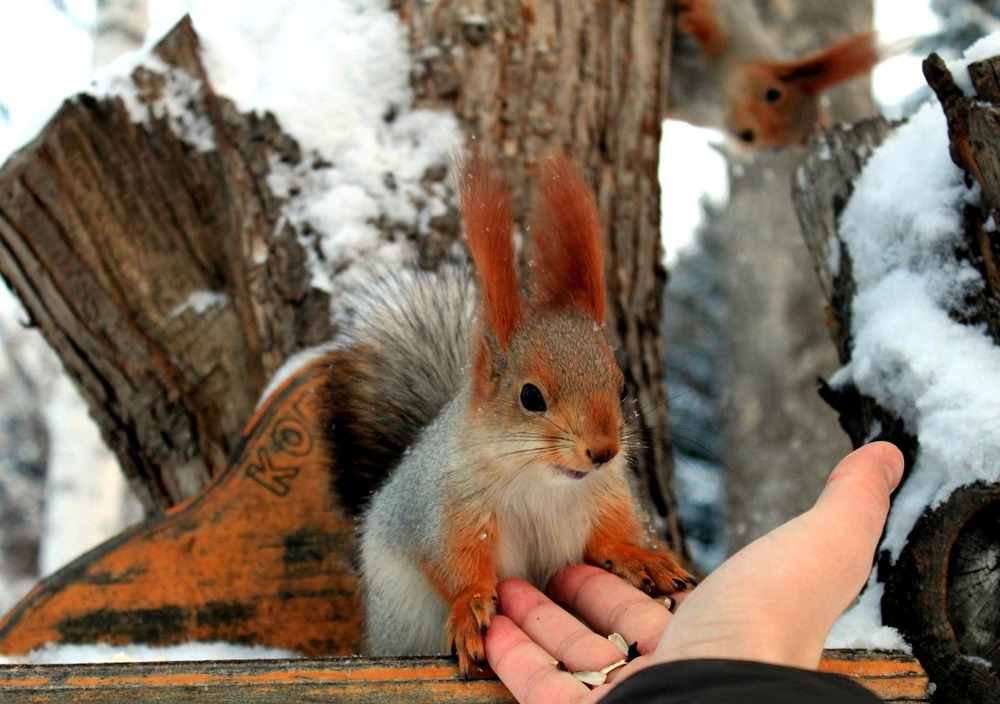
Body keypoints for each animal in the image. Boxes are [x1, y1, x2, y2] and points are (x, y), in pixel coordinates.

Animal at [336, 153, 696, 676]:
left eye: (623, 385)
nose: (604, 452)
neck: (541, 482)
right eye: (530, 396)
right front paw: (470, 607)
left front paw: (641, 557)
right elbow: (454, 563)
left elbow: (607, 542)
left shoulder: (606, 498)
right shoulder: (448, 508)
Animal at [672, 0, 884, 148]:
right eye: (773, 93)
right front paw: (692, 14)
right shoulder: (734, 31)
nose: (747, 135)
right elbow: (713, 15)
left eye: (777, 146)